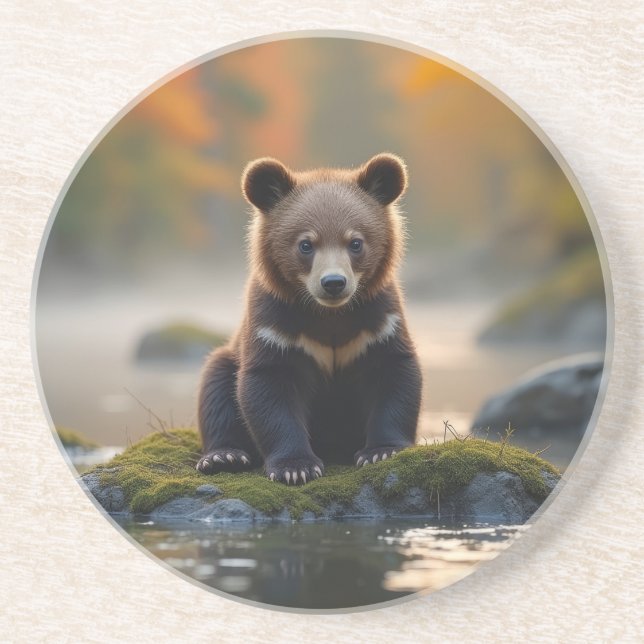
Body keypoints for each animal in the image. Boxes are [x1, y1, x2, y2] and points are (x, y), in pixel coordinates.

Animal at [196, 153, 422, 485]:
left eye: (355, 242)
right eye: (306, 244)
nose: (333, 283)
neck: (328, 314)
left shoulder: (378, 319)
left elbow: (394, 373)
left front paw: (381, 451)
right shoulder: (275, 324)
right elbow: (269, 387)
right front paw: (295, 467)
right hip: (227, 358)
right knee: (216, 387)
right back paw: (223, 456)